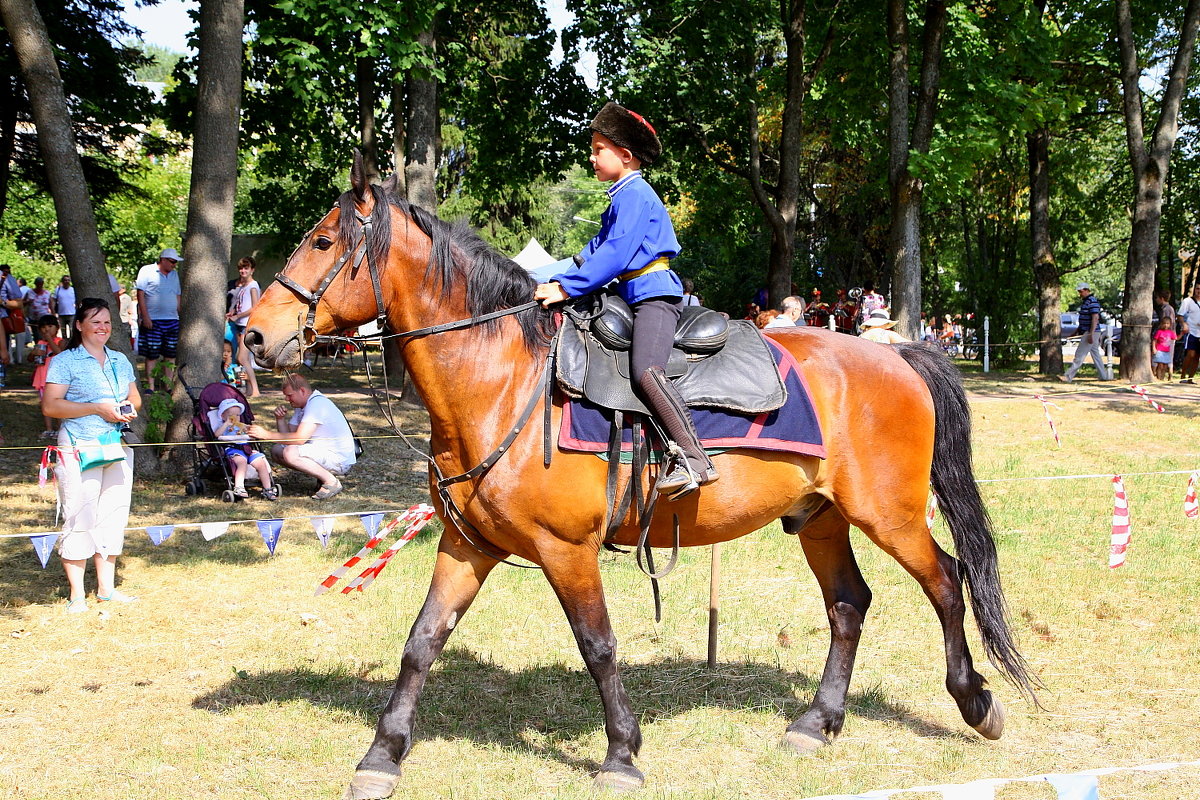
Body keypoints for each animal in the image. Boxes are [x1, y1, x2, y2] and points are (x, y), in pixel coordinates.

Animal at [241, 158, 1032, 800]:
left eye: (322, 242)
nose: (251, 334)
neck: (501, 380)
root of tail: (897, 353)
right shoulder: (468, 545)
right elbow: (422, 641)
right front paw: (382, 754)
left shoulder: (566, 551)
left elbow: (598, 646)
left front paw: (622, 753)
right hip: (822, 517)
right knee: (848, 605)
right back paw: (817, 721)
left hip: (889, 515)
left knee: (948, 581)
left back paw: (975, 702)